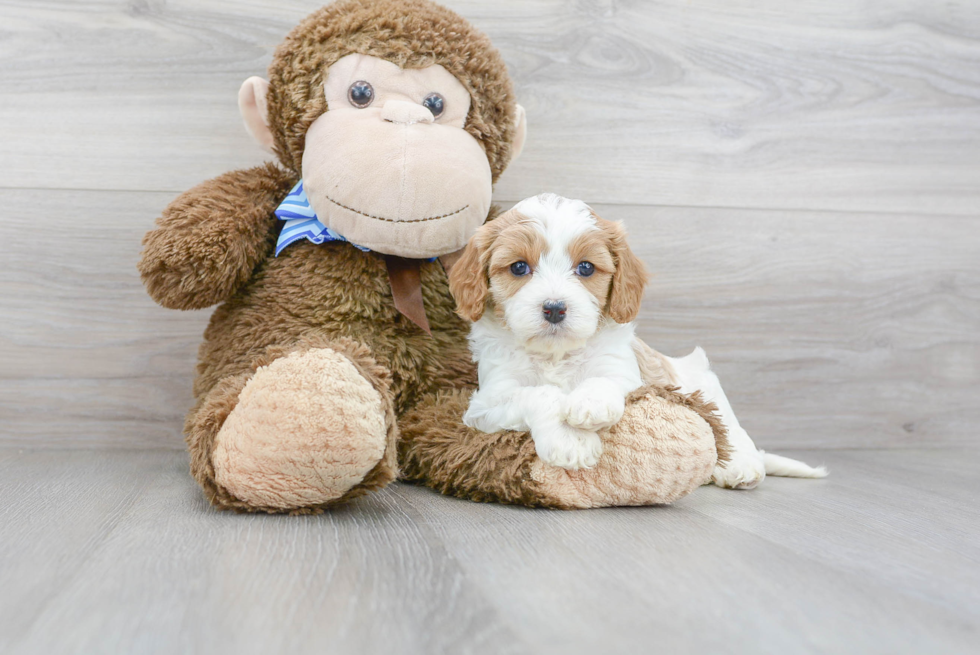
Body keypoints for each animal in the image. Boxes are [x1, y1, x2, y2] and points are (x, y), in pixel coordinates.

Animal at [448, 193, 824, 486]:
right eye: (518, 268)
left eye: (586, 268)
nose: (554, 308)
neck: (556, 354)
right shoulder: (487, 403)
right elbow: (538, 394)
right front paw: (571, 440)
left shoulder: (627, 374)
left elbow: (604, 381)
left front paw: (590, 403)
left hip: (707, 385)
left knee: (732, 428)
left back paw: (740, 466)